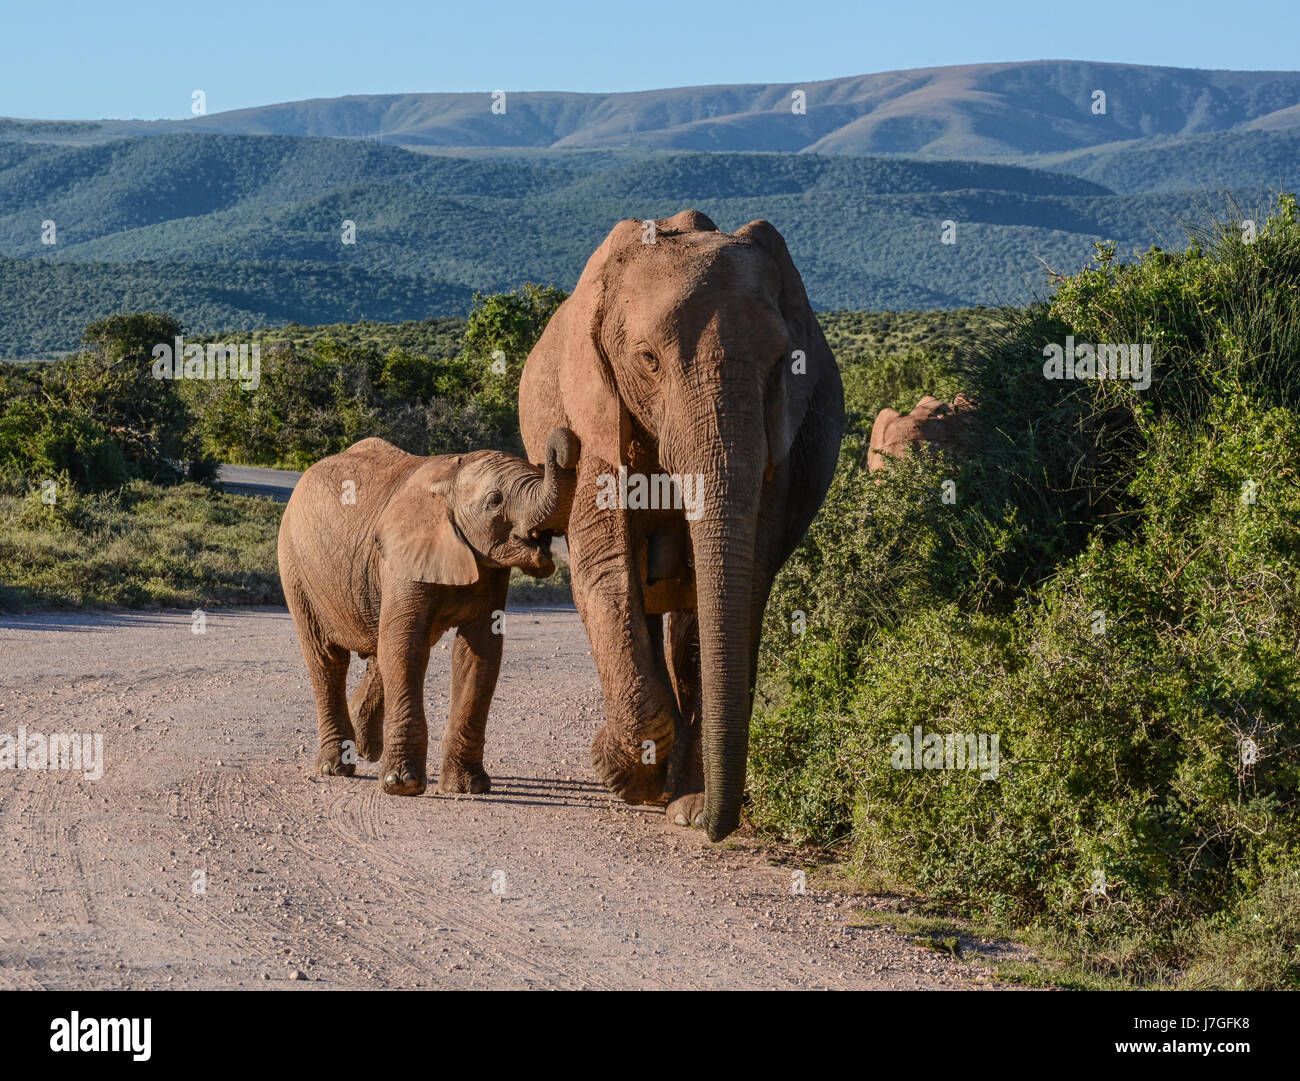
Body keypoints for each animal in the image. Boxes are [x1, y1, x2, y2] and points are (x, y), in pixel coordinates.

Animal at [277, 428, 579, 796]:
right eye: (495, 501)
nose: (564, 438)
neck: (449, 479)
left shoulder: (488, 568)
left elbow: (478, 653)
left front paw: (467, 787)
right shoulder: (402, 556)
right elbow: (407, 647)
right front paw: (402, 785)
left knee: (379, 649)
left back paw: (365, 747)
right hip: (295, 565)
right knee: (327, 658)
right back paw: (335, 767)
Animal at [519, 210, 844, 841]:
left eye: (783, 363)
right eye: (648, 360)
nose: (720, 827)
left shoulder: (781, 443)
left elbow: (733, 590)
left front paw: (675, 800)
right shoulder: (598, 416)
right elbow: (607, 573)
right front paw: (623, 776)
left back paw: (684, 798)